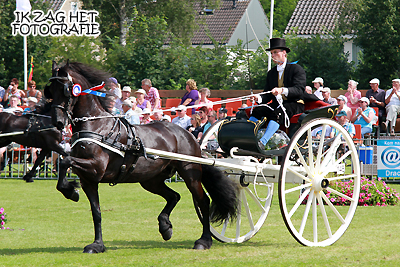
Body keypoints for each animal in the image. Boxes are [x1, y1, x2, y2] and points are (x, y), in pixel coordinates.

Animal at [44, 61, 238, 254]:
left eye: (66, 89)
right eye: (50, 90)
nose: (57, 122)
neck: (97, 126)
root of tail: (188, 136)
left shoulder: (96, 168)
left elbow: (65, 160)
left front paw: (70, 191)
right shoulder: (88, 180)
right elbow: (96, 212)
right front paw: (97, 244)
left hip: (190, 174)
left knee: (203, 202)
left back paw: (204, 240)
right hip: (151, 180)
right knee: (174, 196)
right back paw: (165, 227)